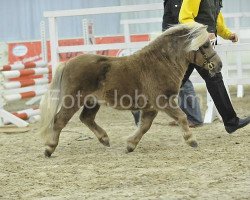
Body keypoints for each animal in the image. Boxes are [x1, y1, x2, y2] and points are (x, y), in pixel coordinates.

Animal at [39, 22, 223, 156]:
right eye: (205, 45)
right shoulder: (164, 102)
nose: (219, 65)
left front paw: (130, 145)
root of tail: (67, 63)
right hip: (73, 100)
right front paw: (191, 140)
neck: (160, 63)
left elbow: (144, 126)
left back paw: (104, 139)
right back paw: (49, 148)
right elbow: (181, 117)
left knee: (86, 118)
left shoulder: (151, 107)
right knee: (59, 120)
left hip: (92, 102)